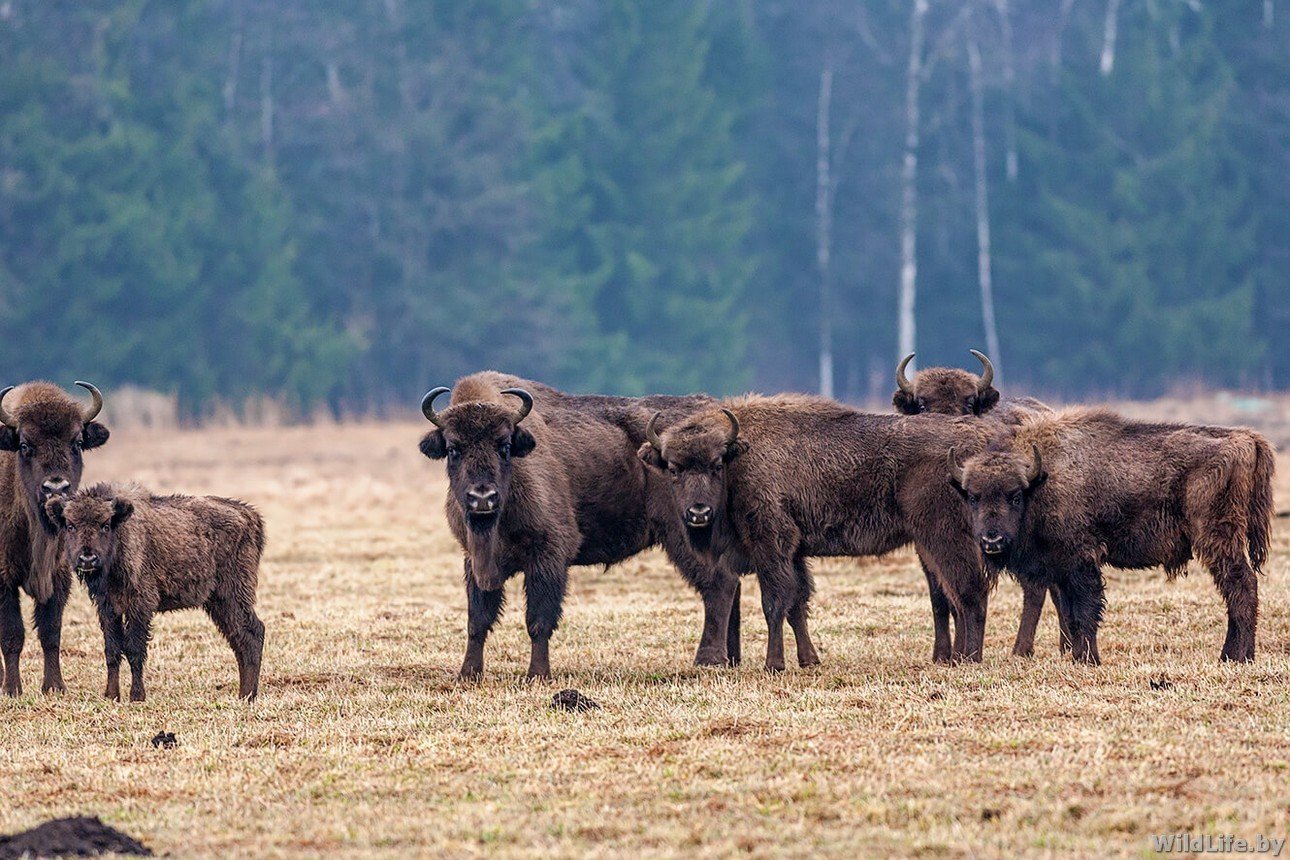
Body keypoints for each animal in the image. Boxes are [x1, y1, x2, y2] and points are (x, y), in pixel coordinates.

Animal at [0, 379, 109, 696]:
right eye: (25, 445)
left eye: (77, 442)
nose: (56, 488)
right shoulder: (3, 578)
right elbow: (12, 634)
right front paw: (12, 689)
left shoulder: (60, 575)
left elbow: (51, 632)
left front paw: (54, 686)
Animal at [46, 484, 267, 701]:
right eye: (70, 525)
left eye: (105, 525)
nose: (87, 559)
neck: (121, 535)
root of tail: (250, 515)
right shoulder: (108, 607)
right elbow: (112, 650)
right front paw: (111, 695)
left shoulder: (140, 605)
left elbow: (134, 650)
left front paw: (137, 696)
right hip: (219, 602)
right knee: (239, 637)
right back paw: (244, 694)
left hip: (233, 593)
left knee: (253, 632)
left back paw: (247, 695)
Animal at [415, 373, 732, 680]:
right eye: (453, 449)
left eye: (504, 446)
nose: (482, 497)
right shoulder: (474, 561)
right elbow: (478, 620)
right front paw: (468, 674)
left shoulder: (548, 556)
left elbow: (538, 620)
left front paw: (538, 675)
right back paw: (730, 658)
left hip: (686, 533)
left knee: (719, 585)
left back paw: (709, 660)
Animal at [639, 397, 990, 670]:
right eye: (673, 468)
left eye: (715, 465)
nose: (698, 513)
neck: (739, 457)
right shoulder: (794, 552)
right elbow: (797, 604)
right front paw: (809, 660)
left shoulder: (771, 545)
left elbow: (774, 603)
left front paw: (774, 664)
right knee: (958, 595)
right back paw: (957, 657)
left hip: (943, 536)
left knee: (970, 591)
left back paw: (969, 658)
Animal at [892, 350, 1062, 660]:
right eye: (922, 404)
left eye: (969, 402)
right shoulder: (927, 549)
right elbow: (940, 598)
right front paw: (942, 655)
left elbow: (966, 595)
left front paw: (963, 653)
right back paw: (1065, 646)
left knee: (1035, 589)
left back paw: (1021, 649)